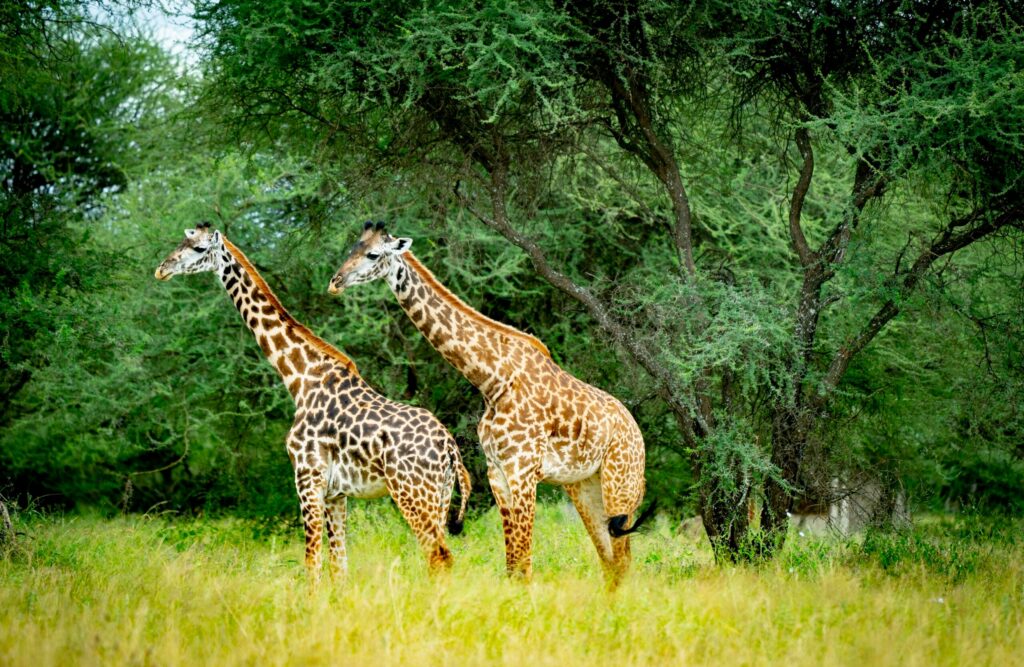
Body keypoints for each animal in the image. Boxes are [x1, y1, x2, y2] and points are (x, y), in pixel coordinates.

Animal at [154, 222, 471, 583]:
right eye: (182, 240)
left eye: (197, 248)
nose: (161, 269)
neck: (300, 377)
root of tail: (450, 449)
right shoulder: (336, 493)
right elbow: (339, 565)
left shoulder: (307, 477)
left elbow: (312, 562)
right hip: (440, 496)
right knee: (441, 558)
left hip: (412, 493)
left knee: (438, 557)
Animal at [328, 222, 654, 585]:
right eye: (351, 248)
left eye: (373, 254)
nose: (334, 282)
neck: (492, 380)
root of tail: (636, 432)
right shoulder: (497, 472)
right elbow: (512, 563)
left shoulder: (522, 470)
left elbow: (524, 562)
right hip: (584, 486)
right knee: (611, 561)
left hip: (620, 483)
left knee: (623, 559)